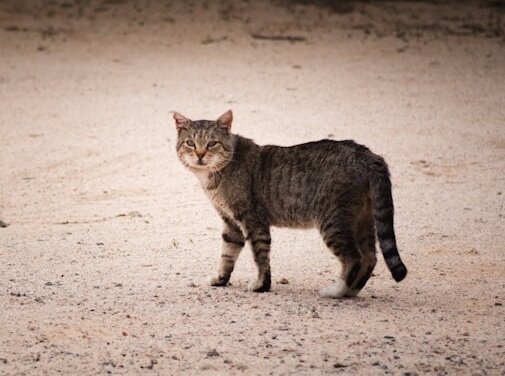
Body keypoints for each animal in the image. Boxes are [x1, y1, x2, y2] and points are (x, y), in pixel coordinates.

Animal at [173, 110, 406, 298]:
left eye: (212, 143)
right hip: (362, 220)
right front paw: (221, 280)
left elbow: (260, 256)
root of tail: (367, 154)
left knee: (354, 258)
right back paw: (351, 291)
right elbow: (227, 254)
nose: (200, 155)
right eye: (190, 143)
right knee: (370, 258)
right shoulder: (231, 222)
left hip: (333, 222)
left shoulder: (253, 220)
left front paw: (261, 285)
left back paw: (337, 291)